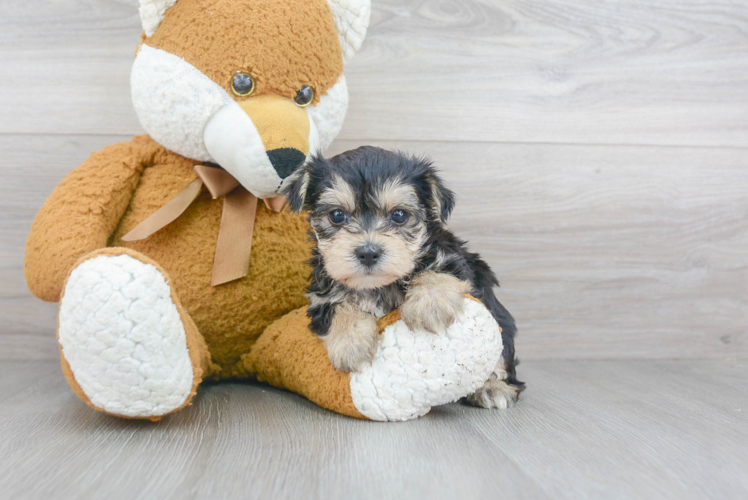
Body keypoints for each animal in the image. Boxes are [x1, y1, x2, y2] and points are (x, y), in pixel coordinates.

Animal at [284, 147, 524, 410]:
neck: (378, 285)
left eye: (399, 215)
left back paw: (492, 387)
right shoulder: (320, 293)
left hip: (500, 322)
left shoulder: (458, 263)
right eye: (337, 215)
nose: (368, 252)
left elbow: (438, 271)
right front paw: (350, 343)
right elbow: (337, 305)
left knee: (502, 357)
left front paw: (430, 305)